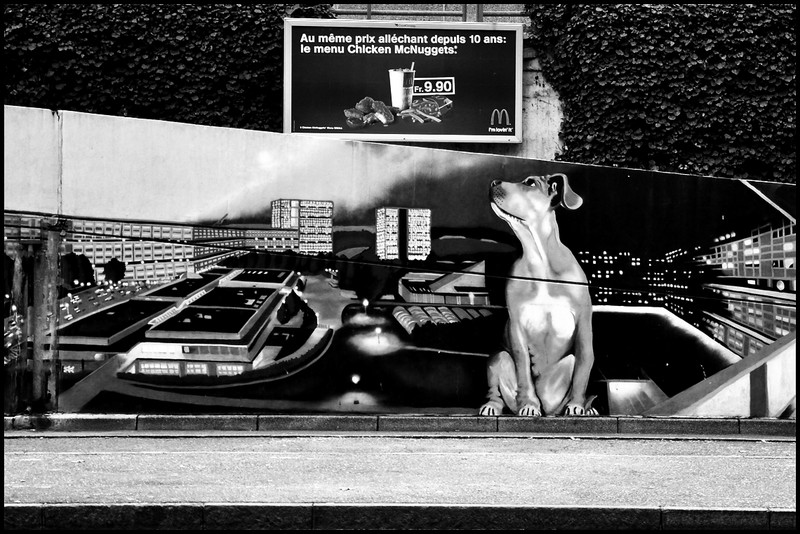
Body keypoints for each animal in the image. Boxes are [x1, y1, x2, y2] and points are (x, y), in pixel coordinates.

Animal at [479, 174, 597, 417]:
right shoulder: (517, 327)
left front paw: (577, 405)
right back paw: (494, 405)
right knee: (497, 389)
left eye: (530, 183)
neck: (540, 259)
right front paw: (529, 405)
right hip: (498, 358)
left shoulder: (583, 324)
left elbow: (583, 366)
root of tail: (550, 410)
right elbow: (523, 368)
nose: (493, 182)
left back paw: (583, 408)